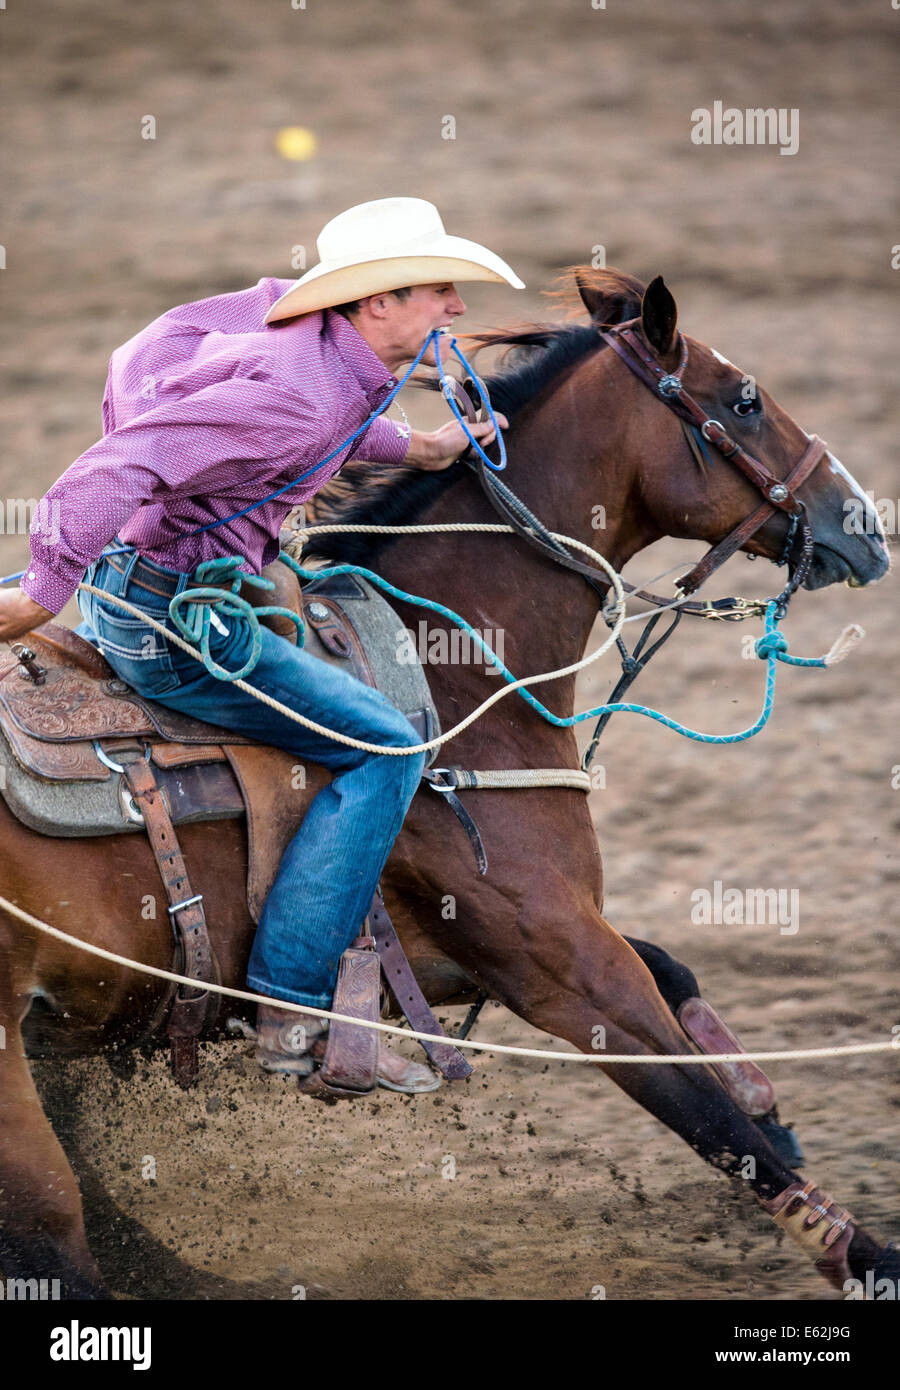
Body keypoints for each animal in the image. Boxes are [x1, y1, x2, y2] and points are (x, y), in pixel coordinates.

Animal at [0, 267, 892, 1300]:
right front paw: (864, 1255)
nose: (866, 528)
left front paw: (767, 1098)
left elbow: (679, 975)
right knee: (56, 1237)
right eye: (744, 400)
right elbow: (714, 1124)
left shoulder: (499, 950)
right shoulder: (567, 976)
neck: (458, 680)